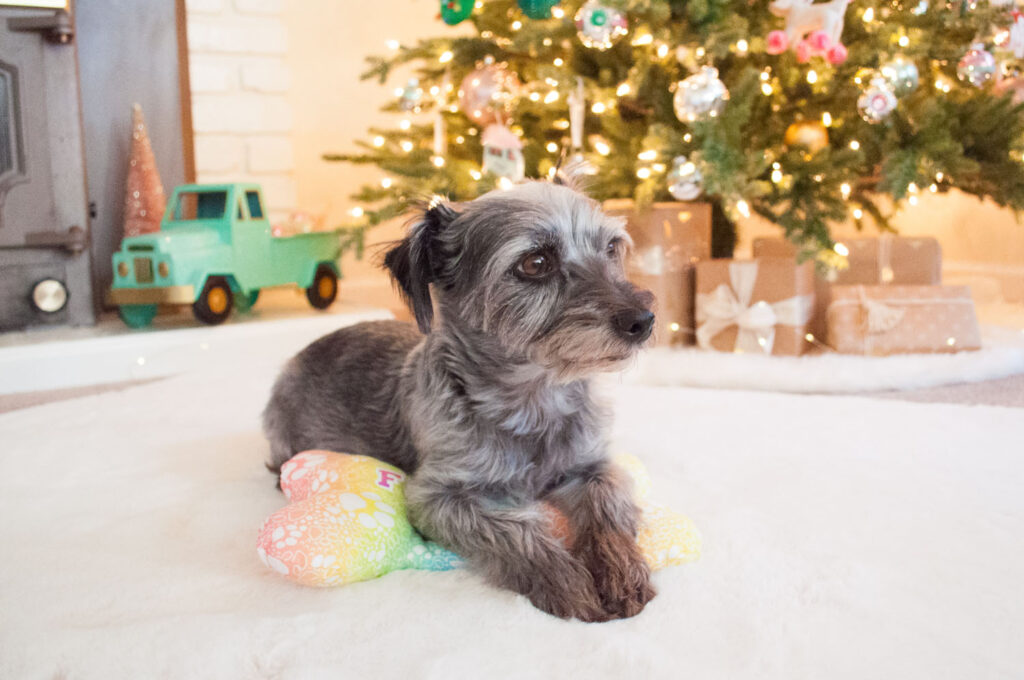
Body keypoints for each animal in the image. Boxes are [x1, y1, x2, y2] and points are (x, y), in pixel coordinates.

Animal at [262, 171, 655, 622]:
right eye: (535, 263)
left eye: (611, 247)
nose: (644, 321)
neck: (534, 400)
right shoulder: (437, 497)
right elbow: (512, 529)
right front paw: (563, 579)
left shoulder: (592, 467)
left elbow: (608, 510)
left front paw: (619, 570)